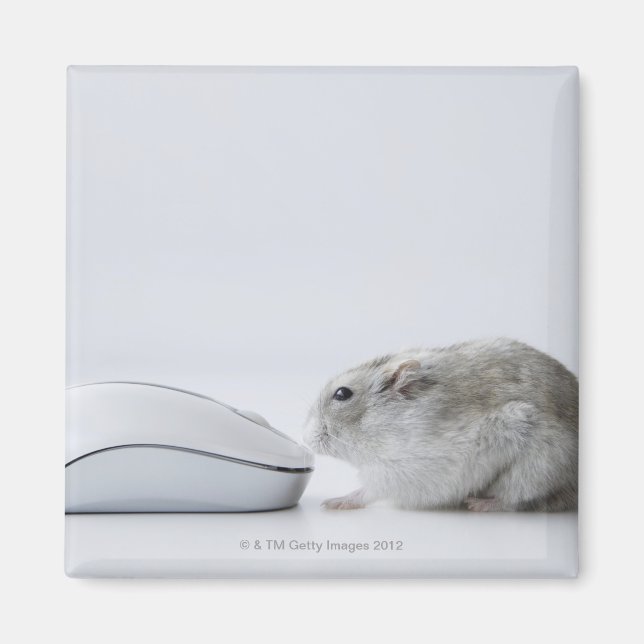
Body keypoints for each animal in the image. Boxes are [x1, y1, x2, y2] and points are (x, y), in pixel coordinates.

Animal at [304, 338, 578, 512]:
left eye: (342, 394)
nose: (306, 439)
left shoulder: (399, 471)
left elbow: (368, 491)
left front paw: (331, 503)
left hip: (536, 467)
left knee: (516, 499)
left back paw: (477, 504)